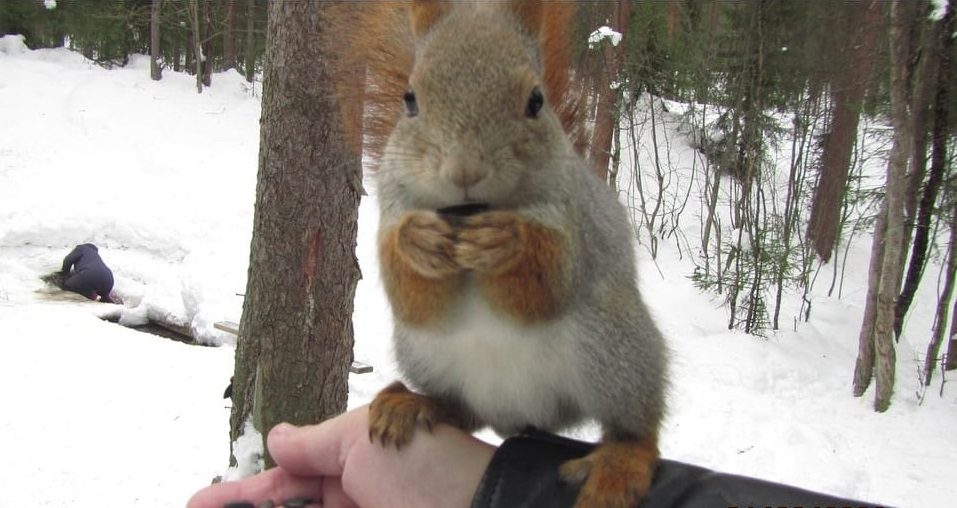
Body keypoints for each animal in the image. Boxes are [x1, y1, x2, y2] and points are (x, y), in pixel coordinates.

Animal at [333, 2, 669, 507]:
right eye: (409, 100)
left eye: (536, 101)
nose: (464, 171)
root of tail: (517, 414)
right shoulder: (394, 205)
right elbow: (413, 297)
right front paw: (418, 240)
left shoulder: (574, 222)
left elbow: (548, 284)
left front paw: (505, 242)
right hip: (423, 353)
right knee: (465, 413)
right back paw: (414, 404)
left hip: (615, 347)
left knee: (637, 426)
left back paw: (620, 461)